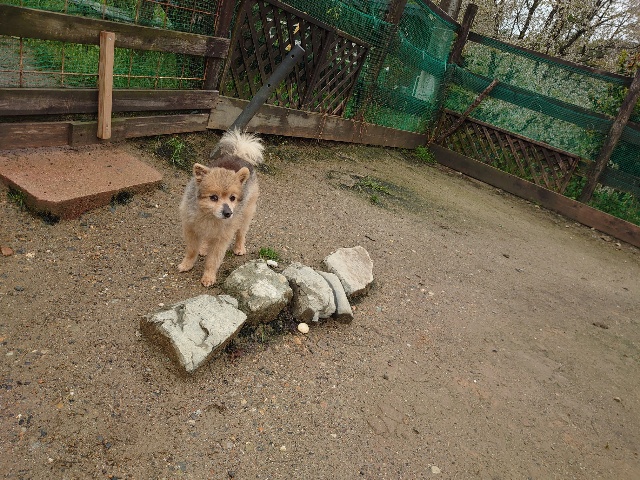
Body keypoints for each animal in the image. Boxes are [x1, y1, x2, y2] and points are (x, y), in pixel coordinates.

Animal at [178, 129, 264, 286]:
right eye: (213, 197)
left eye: (232, 198)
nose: (228, 213)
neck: (208, 216)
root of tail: (238, 154)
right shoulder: (191, 229)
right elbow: (192, 251)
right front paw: (187, 265)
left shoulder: (221, 239)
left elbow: (213, 260)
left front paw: (208, 277)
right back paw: (204, 248)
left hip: (246, 214)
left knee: (241, 233)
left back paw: (239, 247)